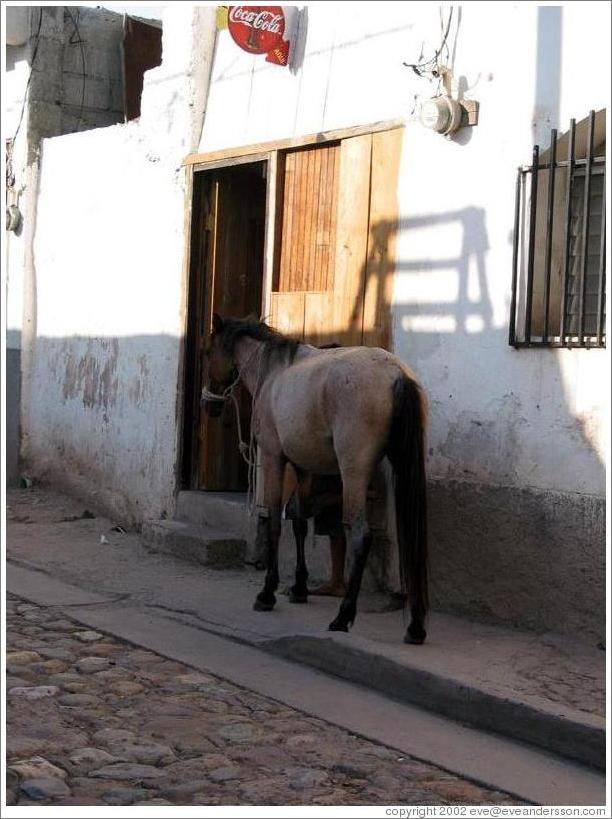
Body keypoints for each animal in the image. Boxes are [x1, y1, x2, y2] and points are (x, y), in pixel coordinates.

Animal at [204, 314, 429, 644]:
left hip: (354, 472)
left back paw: (343, 617)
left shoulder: (273, 458)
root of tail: (395, 374)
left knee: (360, 534)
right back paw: (415, 627)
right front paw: (298, 587)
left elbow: (275, 521)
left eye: (209, 353)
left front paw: (267, 593)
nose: (209, 405)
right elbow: (298, 521)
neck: (273, 371)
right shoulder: (304, 467)